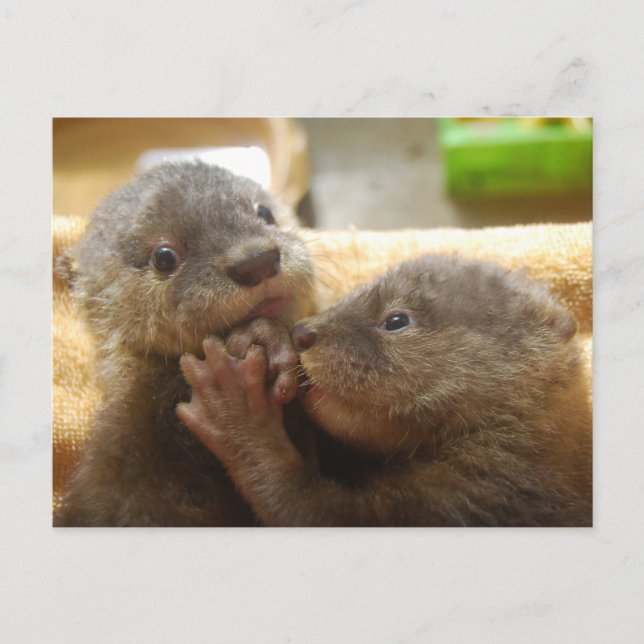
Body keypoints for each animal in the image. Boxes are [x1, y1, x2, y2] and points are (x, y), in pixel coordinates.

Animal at [177, 254, 592, 527]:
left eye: (395, 320)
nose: (302, 333)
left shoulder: (482, 494)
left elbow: (306, 506)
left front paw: (236, 409)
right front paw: (265, 333)